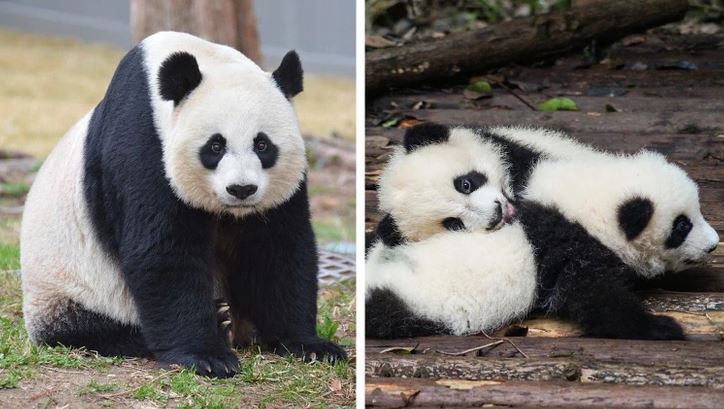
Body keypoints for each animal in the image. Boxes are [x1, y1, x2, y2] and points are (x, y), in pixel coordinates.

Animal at [20, 31, 346, 378]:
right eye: (215, 146)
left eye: (262, 144)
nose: (241, 189)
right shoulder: (142, 144)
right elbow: (164, 249)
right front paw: (207, 356)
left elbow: (277, 250)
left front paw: (310, 345)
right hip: (68, 286)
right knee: (90, 327)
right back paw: (218, 322)